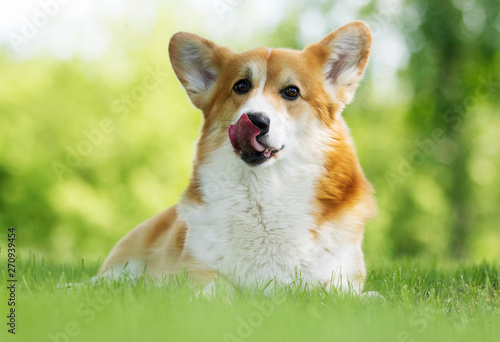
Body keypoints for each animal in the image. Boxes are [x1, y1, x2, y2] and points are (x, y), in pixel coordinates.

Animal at [98, 20, 376, 294]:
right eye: (241, 86)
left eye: (292, 92)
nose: (255, 120)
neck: (265, 192)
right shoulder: (197, 270)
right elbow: (221, 290)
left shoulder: (344, 273)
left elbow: (339, 291)